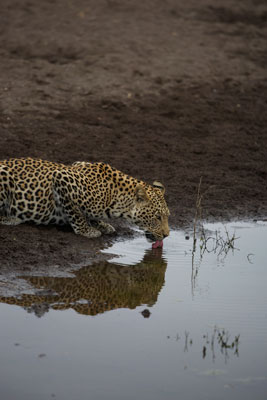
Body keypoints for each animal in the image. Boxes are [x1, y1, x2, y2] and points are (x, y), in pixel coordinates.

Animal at [0, 159, 171, 241]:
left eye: (167, 216)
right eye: (157, 217)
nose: (167, 235)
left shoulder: (77, 163)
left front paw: (102, 224)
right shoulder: (61, 178)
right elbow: (76, 212)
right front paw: (87, 230)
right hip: (3, 175)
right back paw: (11, 218)